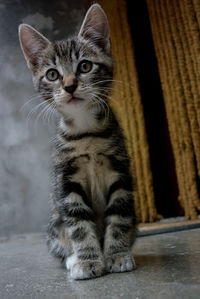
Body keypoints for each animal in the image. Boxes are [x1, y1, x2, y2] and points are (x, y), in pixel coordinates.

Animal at [18, 2, 137, 282]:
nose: (70, 86)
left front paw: (117, 255)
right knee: (60, 243)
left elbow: (118, 217)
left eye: (84, 66)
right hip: (53, 221)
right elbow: (79, 223)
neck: (86, 133)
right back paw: (73, 258)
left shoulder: (120, 172)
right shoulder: (66, 180)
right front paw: (88, 260)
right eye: (52, 74)